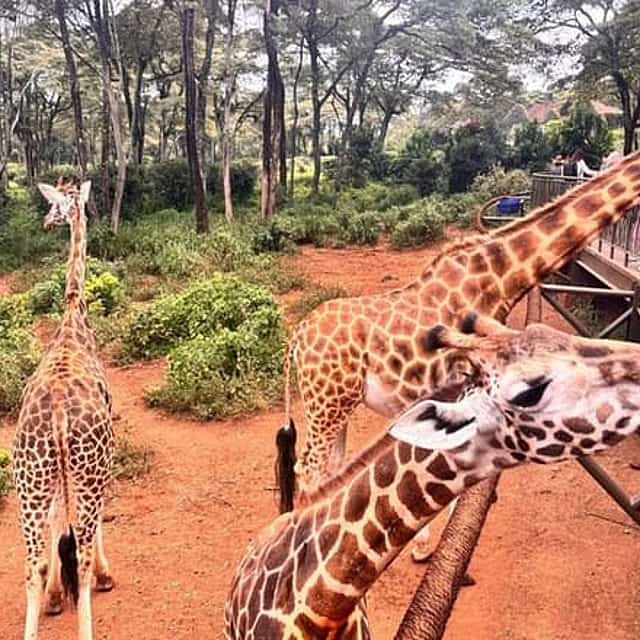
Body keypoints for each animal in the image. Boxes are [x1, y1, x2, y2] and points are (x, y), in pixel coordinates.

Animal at [276, 150, 640, 558]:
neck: (498, 277)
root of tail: (297, 337)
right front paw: (426, 547)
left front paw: (423, 543)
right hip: (327, 402)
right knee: (308, 469)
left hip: (336, 402)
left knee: (329, 470)